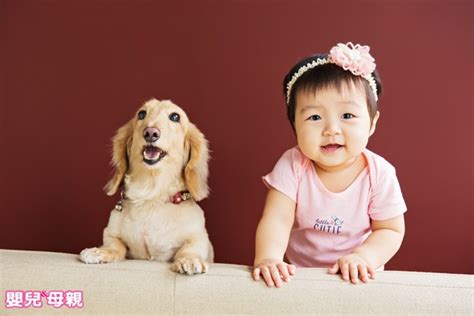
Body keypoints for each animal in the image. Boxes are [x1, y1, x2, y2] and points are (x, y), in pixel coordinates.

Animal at [79, 99, 213, 274]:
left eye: (175, 117)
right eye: (141, 114)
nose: (150, 133)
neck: (150, 196)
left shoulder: (200, 238)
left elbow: (190, 248)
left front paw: (190, 259)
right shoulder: (110, 233)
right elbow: (115, 245)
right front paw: (100, 251)